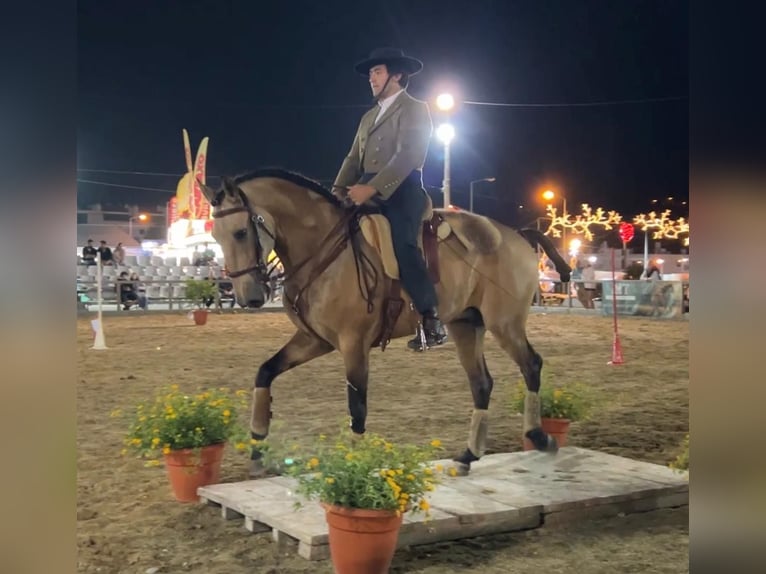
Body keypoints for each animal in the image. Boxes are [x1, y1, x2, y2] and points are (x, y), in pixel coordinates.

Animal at [201, 169, 572, 480]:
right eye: (216, 236)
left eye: (240, 232)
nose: (248, 296)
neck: (325, 250)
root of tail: (517, 234)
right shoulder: (314, 339)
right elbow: (265, 371)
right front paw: (257, 444)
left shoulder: (353, 343)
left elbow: (357, 405)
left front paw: (352, 466)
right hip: (466, 325)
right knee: (481, 383)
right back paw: (469, 455)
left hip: (505, 323)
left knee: (531, 365)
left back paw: (540, 437)